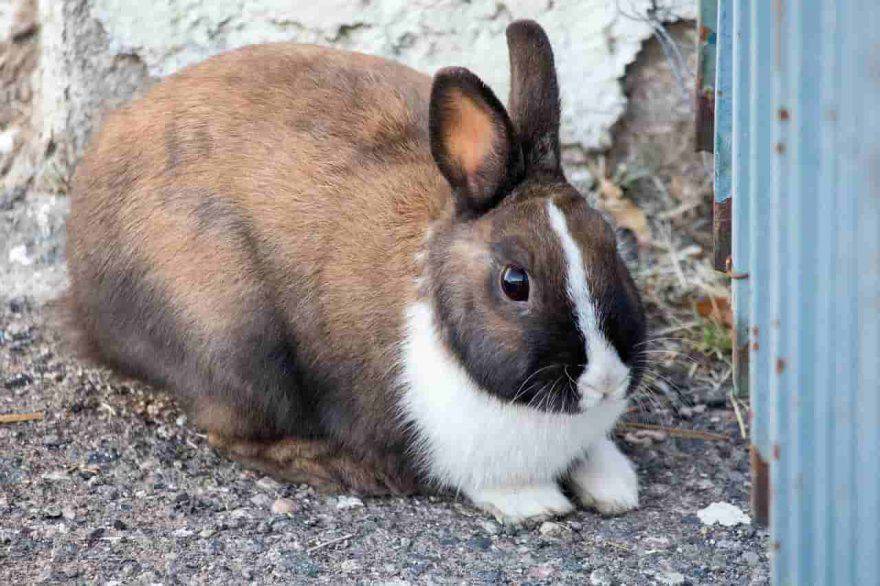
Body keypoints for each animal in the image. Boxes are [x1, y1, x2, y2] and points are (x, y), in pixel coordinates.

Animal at [65, 19, 647, 523]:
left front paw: (615, 488)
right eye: (515, 282)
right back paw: (339, 468)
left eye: (611, 243)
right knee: (233, 435)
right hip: (235, 342)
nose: (606, 381)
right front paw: (536, 503)